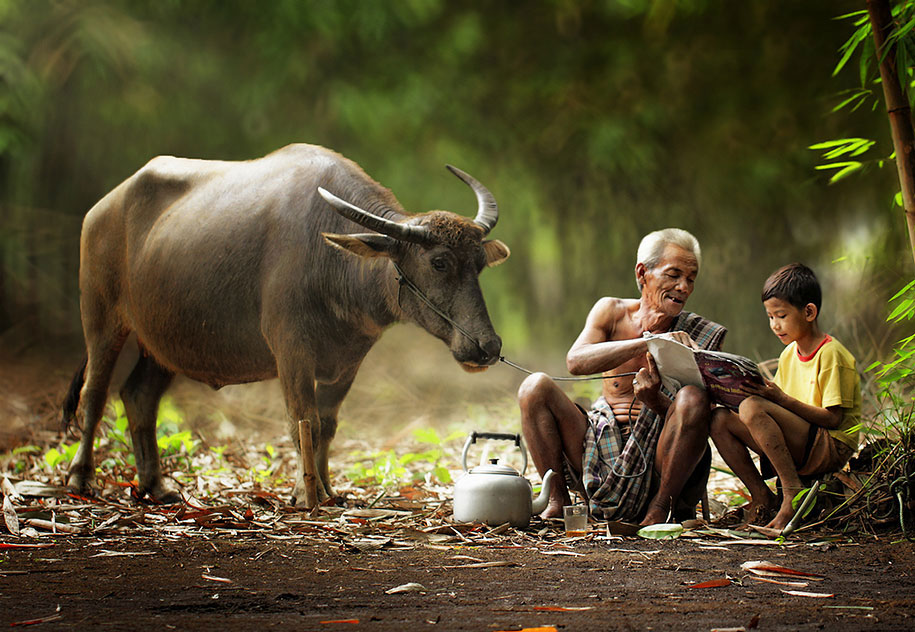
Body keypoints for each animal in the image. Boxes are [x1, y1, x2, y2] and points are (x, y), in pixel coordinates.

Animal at [61, 143, 510, 506]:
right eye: (439, 262)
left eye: (479, 264)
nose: (487, 346)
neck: (332, 261)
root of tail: (102, 208)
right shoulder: (291, 351)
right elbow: (301, 422)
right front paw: (303, 494)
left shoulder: (347, 363)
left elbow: (326, 426)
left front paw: (327, 490)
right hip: (101, 317)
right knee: (95, 393)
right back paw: (81, 479)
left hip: (163, 342)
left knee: (140, 397)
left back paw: (155, 486)